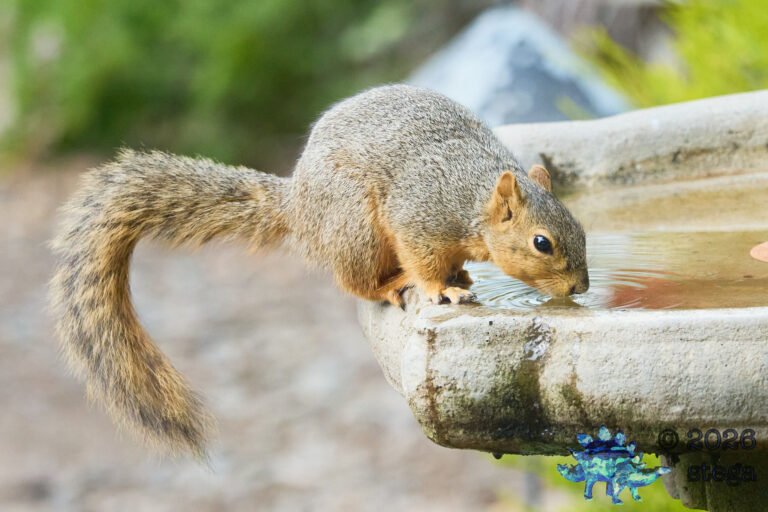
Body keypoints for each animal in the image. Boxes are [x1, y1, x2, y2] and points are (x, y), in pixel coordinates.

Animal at [50, 84, 588, 459]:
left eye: (582, 227)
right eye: (542, 243)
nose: (580, 286)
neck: (471, 199)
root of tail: (299, 207)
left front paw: (462, 279)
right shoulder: (417, 218)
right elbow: (424, 261)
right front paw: (443, 291)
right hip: (355, 226)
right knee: (352, 280)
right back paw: (392, 285)